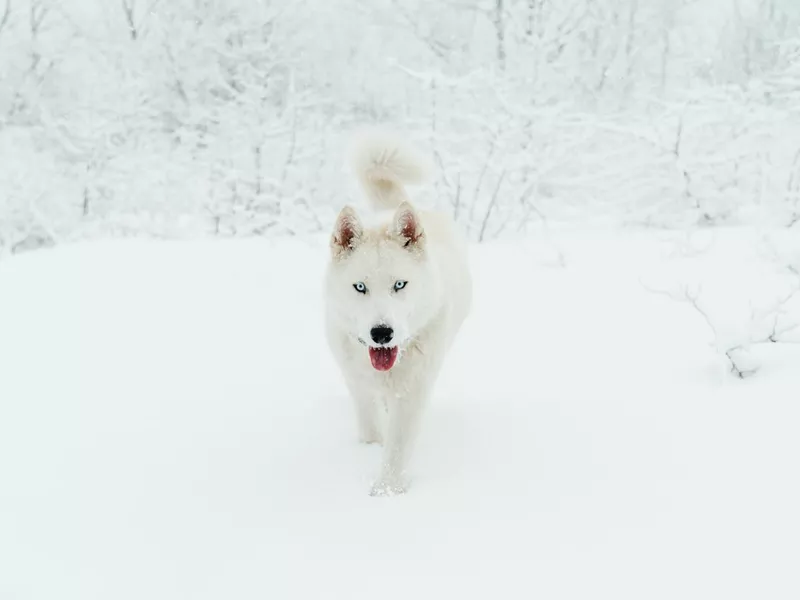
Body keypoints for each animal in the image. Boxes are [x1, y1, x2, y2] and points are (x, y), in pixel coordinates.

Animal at [324, 132, 472, 496]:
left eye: (400, 284)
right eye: (360, 287)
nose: (382, 333)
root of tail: (392, 208)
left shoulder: (413, 390)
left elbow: (398, 446)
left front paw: (387, 493)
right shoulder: (358, 384)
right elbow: (371, 430)